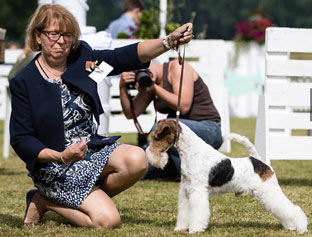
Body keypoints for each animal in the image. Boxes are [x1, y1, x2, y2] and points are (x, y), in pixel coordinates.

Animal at [146, 119, 308, 234]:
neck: (191, 152)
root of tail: (258, 160)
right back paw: (290, 227)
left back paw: (301, 228)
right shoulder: (186, 191)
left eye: (156, 137)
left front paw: (195, 229)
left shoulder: (197, 191)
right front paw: (180, 228)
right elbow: (184, 212)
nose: (148, 155)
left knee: (291, 208)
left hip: (269, 191)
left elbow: (198, 212)